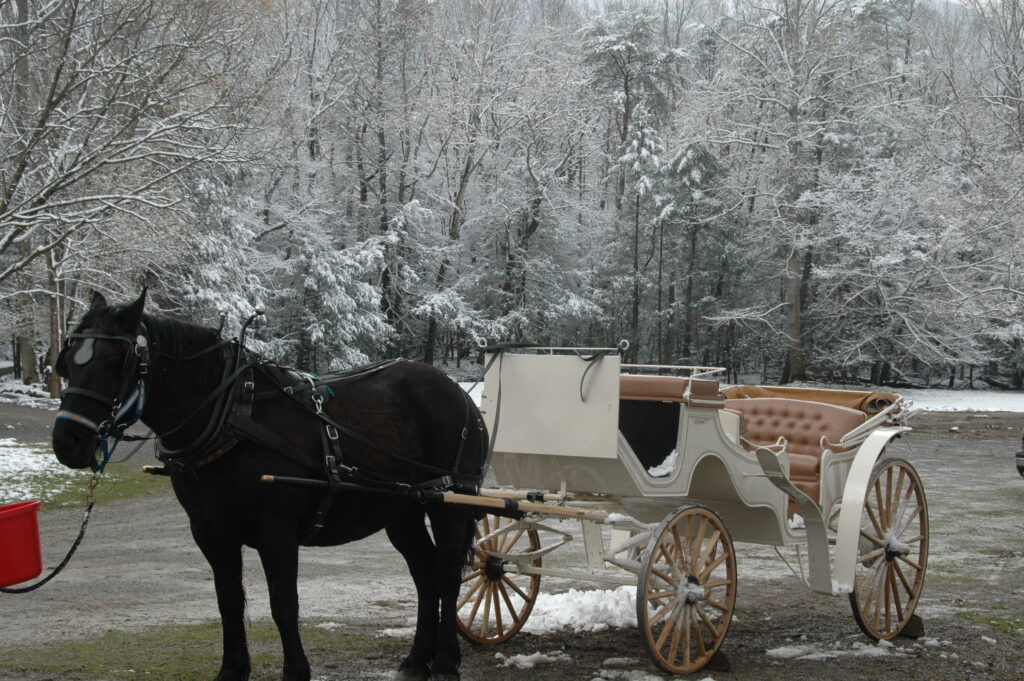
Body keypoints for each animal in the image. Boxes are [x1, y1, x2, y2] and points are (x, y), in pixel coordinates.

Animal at [50, 289, 487, 681]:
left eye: (117, 362)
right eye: (68, 362)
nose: (67, 442)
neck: (229, 415)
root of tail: (457, 391)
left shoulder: (276, 531)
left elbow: (283, 603)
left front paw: (296, 670)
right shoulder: (210, 532)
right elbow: (228, 601)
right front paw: (231, 670)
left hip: (450, 502)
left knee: (448, 573)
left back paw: (445, 661)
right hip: (401, 508)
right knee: (425, 573)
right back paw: (417, 658)